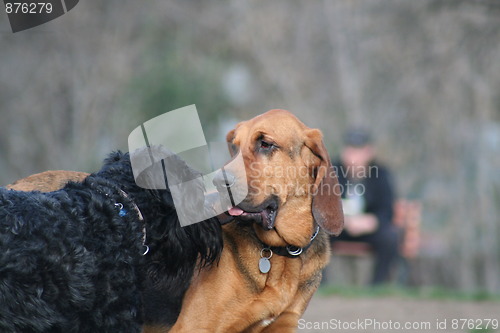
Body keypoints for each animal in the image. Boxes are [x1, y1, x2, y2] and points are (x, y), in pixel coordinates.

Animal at [146, 107, 344, 330]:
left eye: (265, 144)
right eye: (235, 146)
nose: (219, 181)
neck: (282, 251)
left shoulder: (283, 324)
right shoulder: (193, 326)